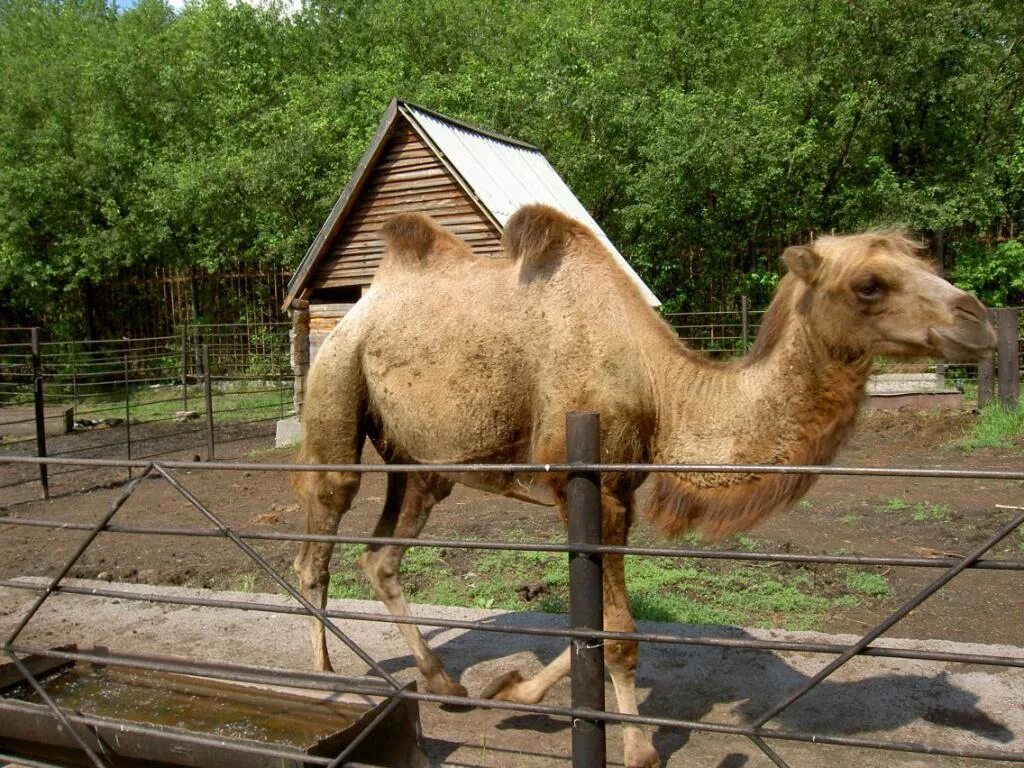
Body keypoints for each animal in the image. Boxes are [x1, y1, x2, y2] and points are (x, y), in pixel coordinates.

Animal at [292, 204, 995, 768]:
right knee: (319, 534)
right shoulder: (591, 488)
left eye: (925, 260)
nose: (980, 320)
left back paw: (444, 684)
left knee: (381, 556)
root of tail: (356, 307)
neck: (662, 389)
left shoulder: (622, 493)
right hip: (337, 384)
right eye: (869, 284)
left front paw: (513, 691)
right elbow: (620, 635)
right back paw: (324, 676)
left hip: (421, 462)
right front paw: (638, 750)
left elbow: (600, 630)